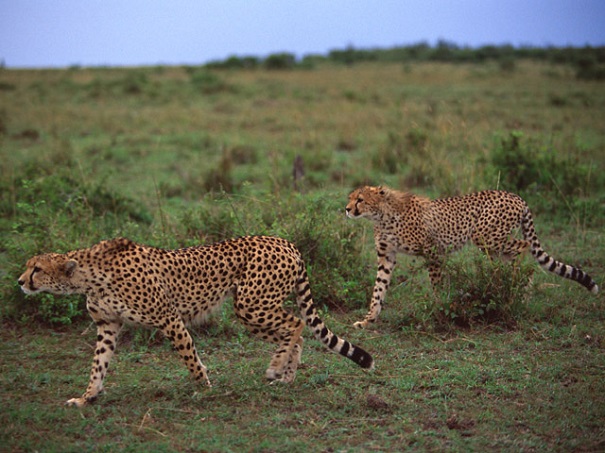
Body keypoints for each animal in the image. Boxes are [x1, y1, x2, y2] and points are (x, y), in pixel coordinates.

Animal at [17, 237, 372, 406]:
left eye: (37, 269)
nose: (20, 282)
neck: (88, 276)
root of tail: (286, 242)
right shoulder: (108, 326)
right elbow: (98, 365)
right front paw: (87, 397)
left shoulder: (168, 317)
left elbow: (189, 356)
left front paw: (204, 388)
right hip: (255, 308)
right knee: (293, 330)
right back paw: (286, 377)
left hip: (251, 304)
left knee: (296, 324)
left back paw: (276, 369)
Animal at [344, 185, 600, 328]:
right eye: (351, 198)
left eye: (360, 200)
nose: (346, 209)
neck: (381, 215)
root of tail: (516, 196)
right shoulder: (387, 256)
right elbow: (378, 289)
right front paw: (369, 320)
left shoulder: (433, 251)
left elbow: (436, 286)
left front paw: (439, 310)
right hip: (492, 243)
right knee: (508, 258)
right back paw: (509, 287)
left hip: (485, 236)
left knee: (524, 246)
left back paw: (518, 285)